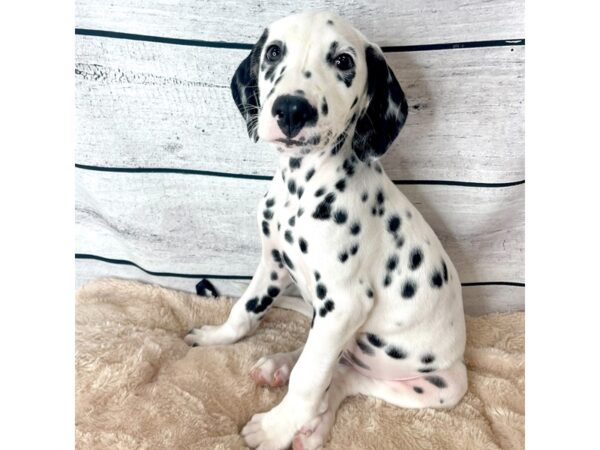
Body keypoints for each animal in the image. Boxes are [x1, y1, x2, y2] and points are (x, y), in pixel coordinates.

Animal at [185, 9, 466, 450]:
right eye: (274, 52)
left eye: (343, 61)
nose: (291, 109)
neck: (302, 188)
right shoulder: (273, 264)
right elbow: (245, 310)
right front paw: (217, 336)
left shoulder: (343, 304)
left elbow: (309, 380)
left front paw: (275, 428)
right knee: (330, 364)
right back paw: (279, 365)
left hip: (441, 386)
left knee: (342, 379)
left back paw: (312, 424)